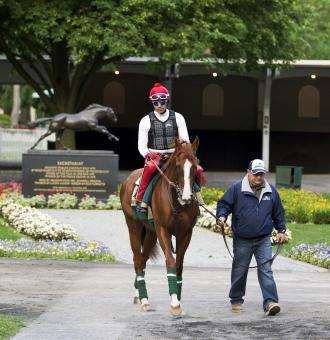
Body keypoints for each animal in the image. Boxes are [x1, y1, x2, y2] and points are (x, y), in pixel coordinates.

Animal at [120, 136, 200, 316]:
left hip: (151, 233)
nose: (187, 197)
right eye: (177, 165)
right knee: (137, 260)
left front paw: (178, 299)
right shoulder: (163, 230)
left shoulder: (186, 233)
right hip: (134, 228)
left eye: (195, 166)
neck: (176, 201)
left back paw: (138, 292)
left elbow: (179, 266)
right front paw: (175, 303)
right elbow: (170, 262)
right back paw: (144, 300)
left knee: (143, 260)